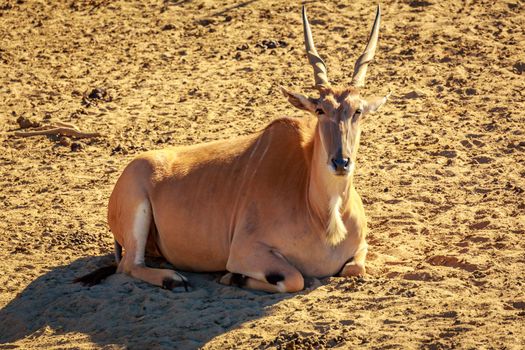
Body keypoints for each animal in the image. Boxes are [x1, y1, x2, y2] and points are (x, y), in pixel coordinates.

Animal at [77, 6, 388, 292]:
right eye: (320, 110)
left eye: (357, 111)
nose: (340, 162)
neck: (322, 213)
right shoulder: (244, 251)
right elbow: (294, 279)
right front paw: (233, 277)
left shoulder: (360, 248)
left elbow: (355, 268)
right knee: (128, 266)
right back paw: (173, 279)